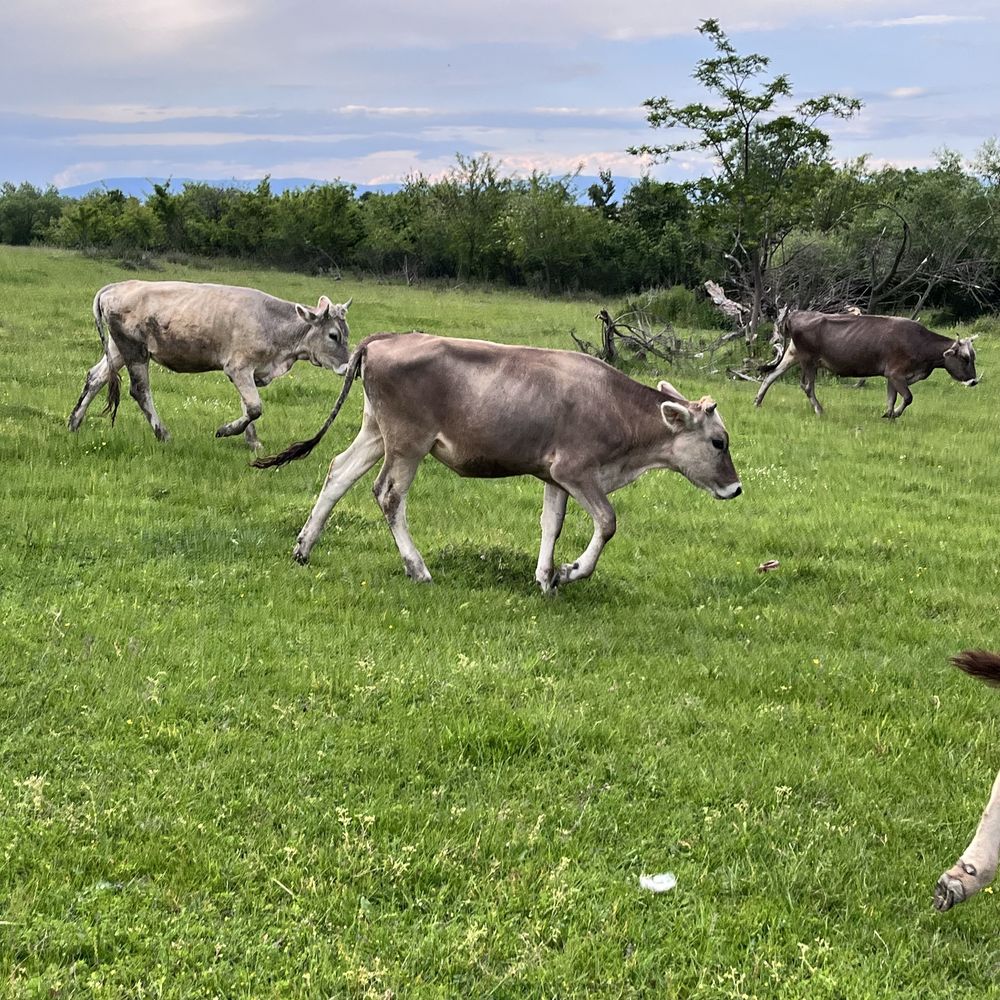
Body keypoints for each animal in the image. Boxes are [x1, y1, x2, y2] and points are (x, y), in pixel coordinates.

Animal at [67, 280, 352, 448]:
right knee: (140, 390)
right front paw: (226, 430)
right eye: (333, 335)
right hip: (134, 350)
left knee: (95, 378)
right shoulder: (238, 367)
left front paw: (254, 444)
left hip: (117, 349)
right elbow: (254, 407)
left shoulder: (248, 372)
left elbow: (248, 407)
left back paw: (74, 423)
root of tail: (115, 287)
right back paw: (163, 434)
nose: (348, 366)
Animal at [256, 332, 744, 588]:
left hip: (377, 432)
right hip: (409, 443)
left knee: (338, 472)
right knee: (388, 494)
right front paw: (572, 571)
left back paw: (303, 547)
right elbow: (607, 522)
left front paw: (546, 577)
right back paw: (418, 567)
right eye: (718, 442)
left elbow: (551, 524)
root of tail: (384, 339)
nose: (737, 488)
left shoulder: (554, 476)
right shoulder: (576, 471)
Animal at [756, 310, 976, 416]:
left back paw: (757, 402)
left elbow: (891, 398)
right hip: (808, 359)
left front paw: (889, 415)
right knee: (807, 385)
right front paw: (894, 415)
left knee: (771, 375)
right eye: (965, 358)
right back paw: (819, 410)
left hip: (793, 354)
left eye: (974, 358)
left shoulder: (891, 376)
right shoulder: (896, 373)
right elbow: (907, 398)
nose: (974, 381)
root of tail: (796, 314)